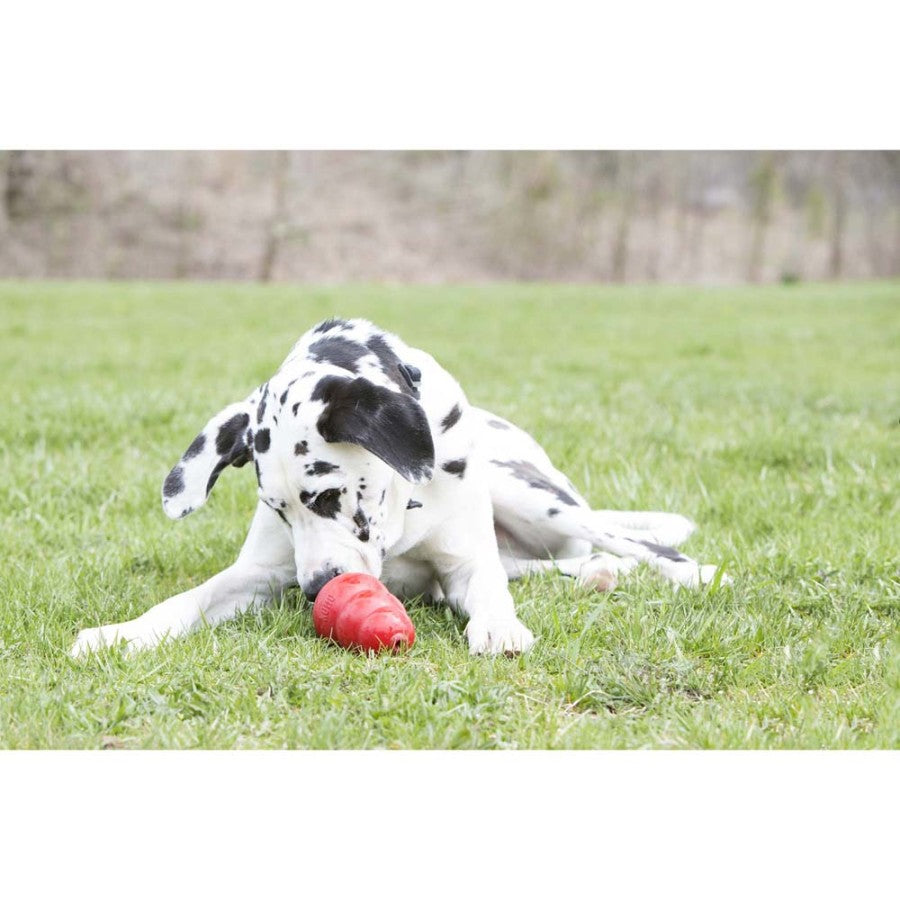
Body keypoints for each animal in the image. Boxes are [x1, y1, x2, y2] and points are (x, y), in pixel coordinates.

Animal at [72, 320, 732, 656]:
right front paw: (122, 632)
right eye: (280, 511)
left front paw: (499, 627)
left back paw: (693, 573)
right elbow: (187, 599)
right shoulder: (259, 574)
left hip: (531, 495)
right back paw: (598, 574)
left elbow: (489, 590)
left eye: (328, 495)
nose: (317, 590)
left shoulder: (467, 563)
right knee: (557, 565)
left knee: (633, 543)